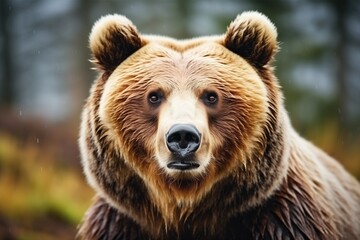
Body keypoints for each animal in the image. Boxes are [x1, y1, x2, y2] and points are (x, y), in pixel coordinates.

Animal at [76, 11, 360, 240]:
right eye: (154, 96)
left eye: (211, 96)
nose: (182, 136)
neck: (186, 209)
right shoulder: (120, 223)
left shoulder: (282, 217)